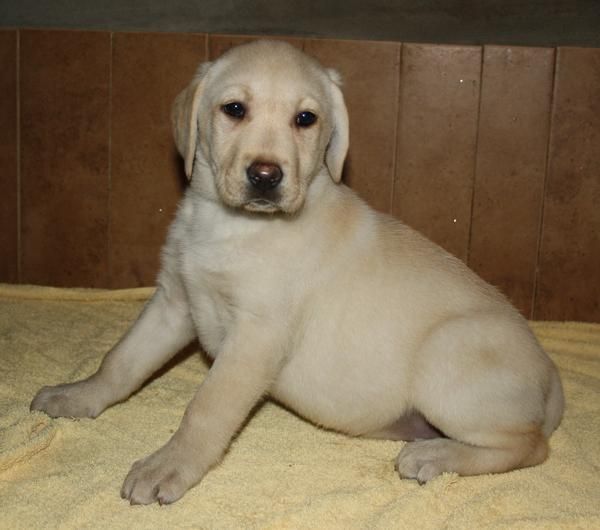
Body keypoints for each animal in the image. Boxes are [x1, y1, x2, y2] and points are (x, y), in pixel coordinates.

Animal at [30, 41, 564, 504]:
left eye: (305, 119)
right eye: (234, 109)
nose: (266, 176)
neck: (233, 226)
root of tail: (551, 379)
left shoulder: (257, 336)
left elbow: (206, 407)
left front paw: (169, 465)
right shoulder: (173, 302)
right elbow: (121, 361)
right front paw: (77, 396)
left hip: (447, 353)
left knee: (531, 446)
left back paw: (436, 455)